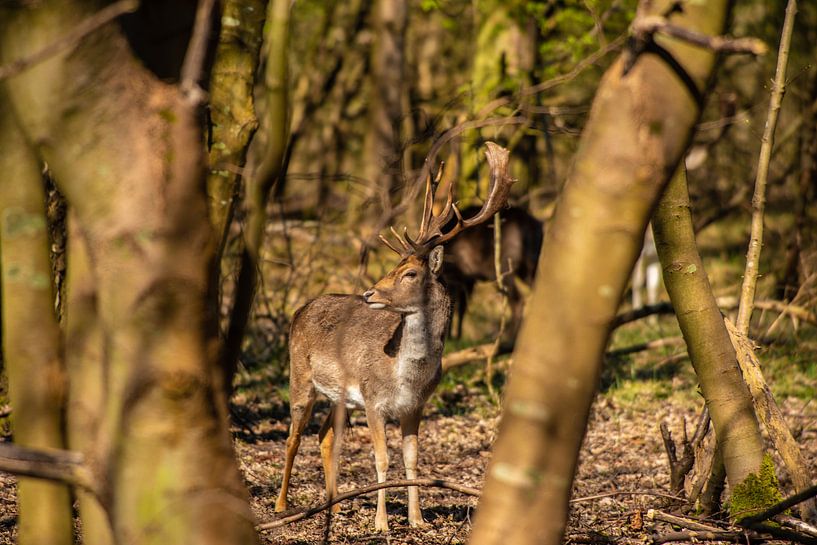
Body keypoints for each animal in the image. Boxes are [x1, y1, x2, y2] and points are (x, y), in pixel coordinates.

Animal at [274, 142, 514, 532]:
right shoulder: (374, 401)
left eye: (410, 273)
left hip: (340, 396)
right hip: (300, 376)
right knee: (293, 436)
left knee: (325, 436)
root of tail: (298, 310)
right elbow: (382, 459)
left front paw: (417, 520)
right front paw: (381, 523)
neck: (406, 376)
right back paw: (281, 504)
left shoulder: (415, 406)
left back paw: (335, 503)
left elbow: (412, 460)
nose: (370, 292)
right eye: (393, 267)